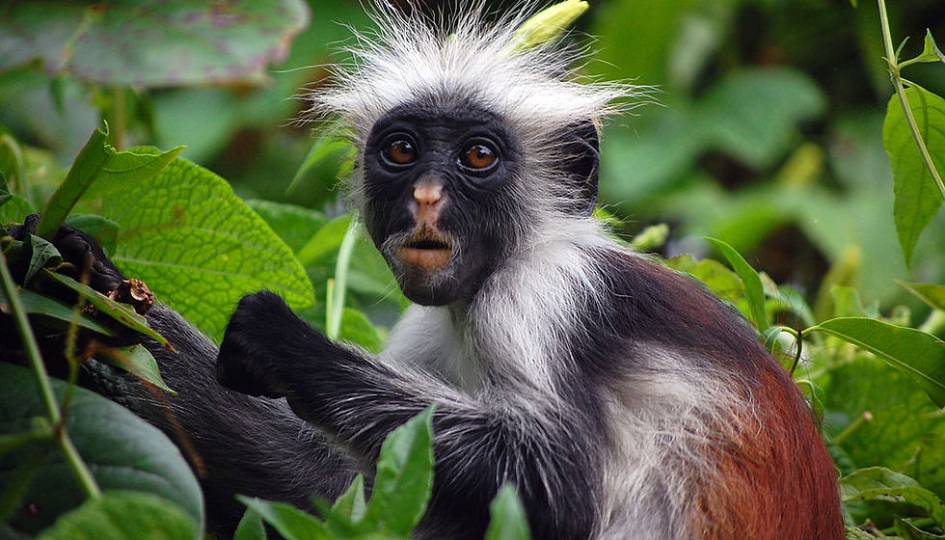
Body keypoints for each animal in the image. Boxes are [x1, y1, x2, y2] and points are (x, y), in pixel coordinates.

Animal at [5, 2, 843, 539]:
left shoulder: (543, 295)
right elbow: (334, 491)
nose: (427, 198)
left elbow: (560, 484)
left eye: (477, 156)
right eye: (402, 150)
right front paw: (72, 287)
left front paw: (282, 343)